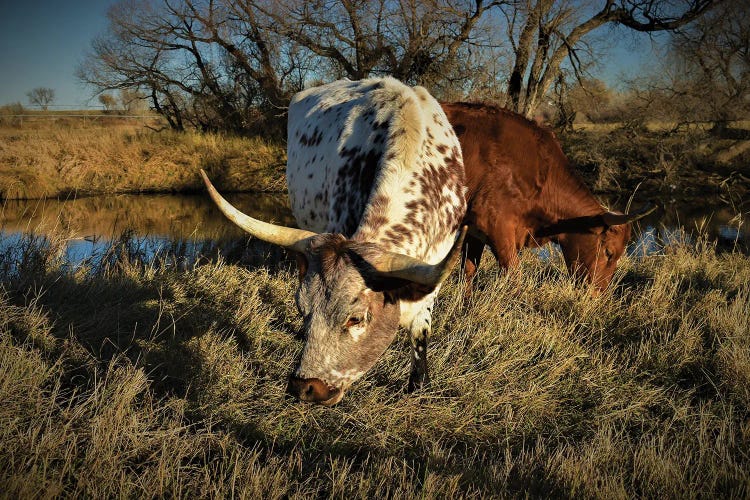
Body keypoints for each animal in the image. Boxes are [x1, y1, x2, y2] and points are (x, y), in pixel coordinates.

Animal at [444, 103, 656, 294]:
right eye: (609, 252)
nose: (598, 295)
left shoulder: (474, 229)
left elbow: (468, 271)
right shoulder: (494, 224)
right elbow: (514, 275)